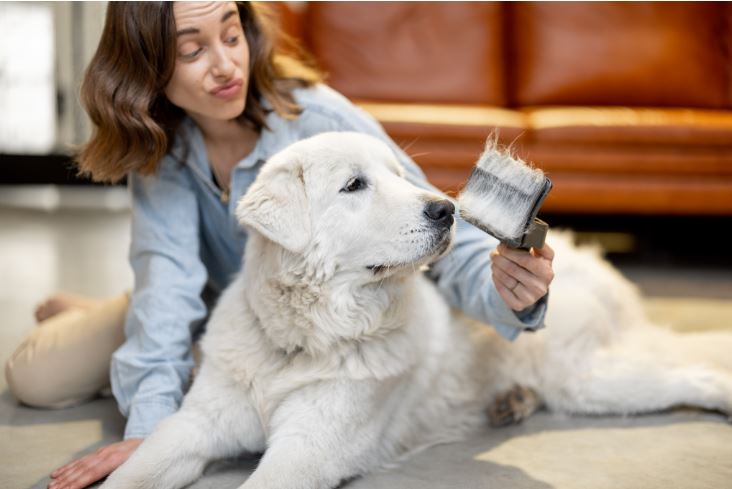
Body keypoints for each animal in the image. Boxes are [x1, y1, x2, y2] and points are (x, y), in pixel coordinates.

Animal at [101, 132, 732, 486]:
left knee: (691, 374)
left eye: (401, 176)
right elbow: (137, 469)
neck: (303, 340)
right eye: (354, 185)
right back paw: (511, 402)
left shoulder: (307, 451)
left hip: (589, 380)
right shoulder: (194, 426)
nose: (446, 209)